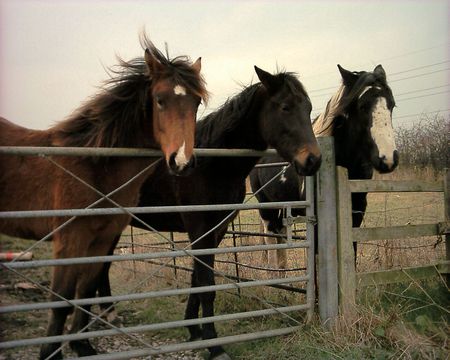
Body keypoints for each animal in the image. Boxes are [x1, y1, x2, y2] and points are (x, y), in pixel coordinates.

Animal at [0, 34, 207, 360]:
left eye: (196, 102)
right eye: (159, 100)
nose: (182, 162)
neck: (94, 164)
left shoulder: (101, 239)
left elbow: (85, 291)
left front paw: (82, 345)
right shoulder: (70, 240)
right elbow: (61, 300)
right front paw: (50, 353)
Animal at [248, 63, 400, 268]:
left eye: (391, 104)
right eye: (362, 106)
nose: (388, 158)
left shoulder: (356, 213)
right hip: (266, 206)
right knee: (271, 239)